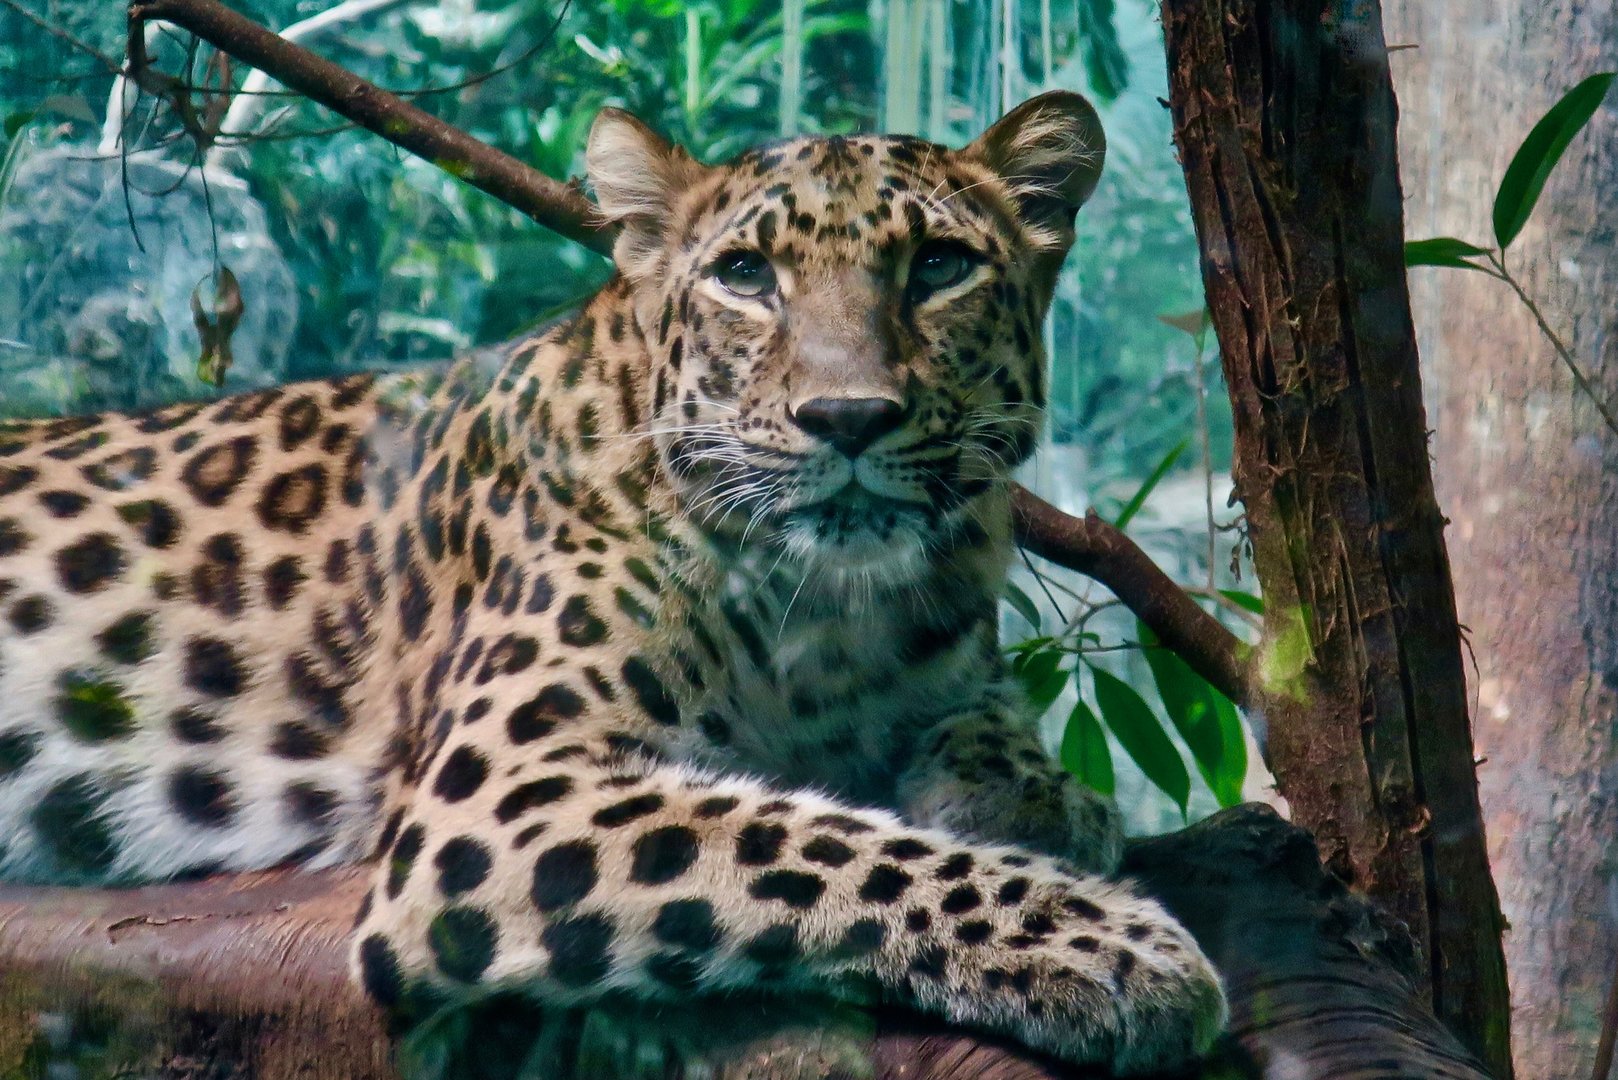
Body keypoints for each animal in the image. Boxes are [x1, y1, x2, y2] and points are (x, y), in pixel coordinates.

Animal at [0, 91, 1225, 1075]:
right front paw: (1111, 946)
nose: (847, 418)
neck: (837, 614)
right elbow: (815, 842)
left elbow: (981, 717)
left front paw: (1035, 795)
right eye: (746, 276)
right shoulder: (503, 792)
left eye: (938, 267)